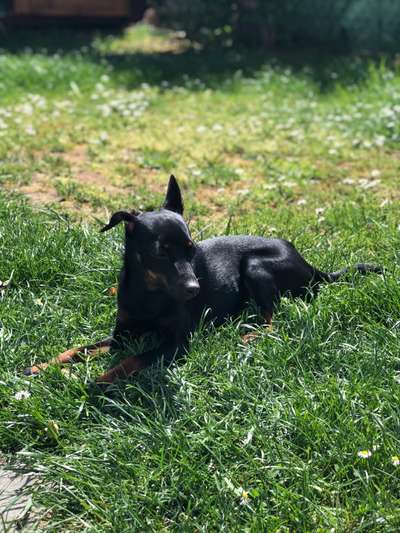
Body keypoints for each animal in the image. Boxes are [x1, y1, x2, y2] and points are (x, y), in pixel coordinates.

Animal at [25, 176, 384, 382]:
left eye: (191, 249)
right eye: (161, 253)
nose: (194, 289)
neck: (149, 292)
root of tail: (311, 266)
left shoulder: (176, 345)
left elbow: (129, 361)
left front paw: (88, 380)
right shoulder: (122, 334)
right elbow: (79, 348)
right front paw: (44, 366)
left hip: (256, 265)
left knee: (273, 319)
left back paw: (247, 335)